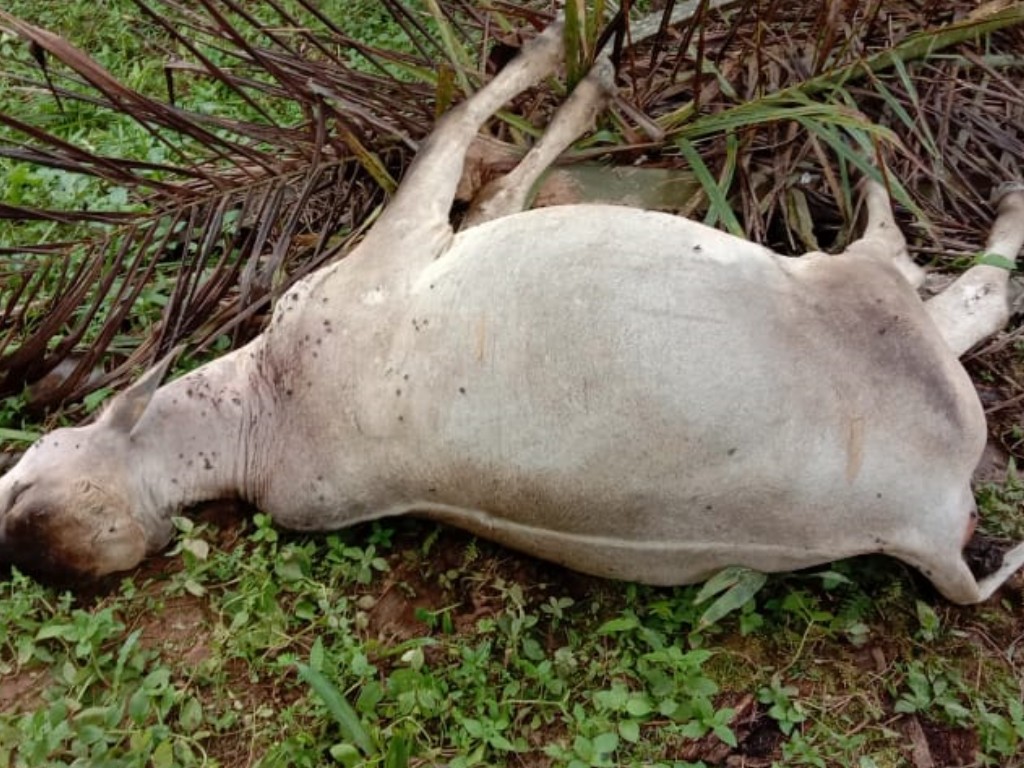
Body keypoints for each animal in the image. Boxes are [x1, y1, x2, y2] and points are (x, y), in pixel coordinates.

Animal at [2, 22, 1024, 606]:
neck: (258, 411)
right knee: (959, 286)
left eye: (19, 473)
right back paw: (895, 177)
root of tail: (927, 530)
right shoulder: (396, 252)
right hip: (858, 296)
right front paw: (573, 62)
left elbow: (488, 169)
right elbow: (469, 142)